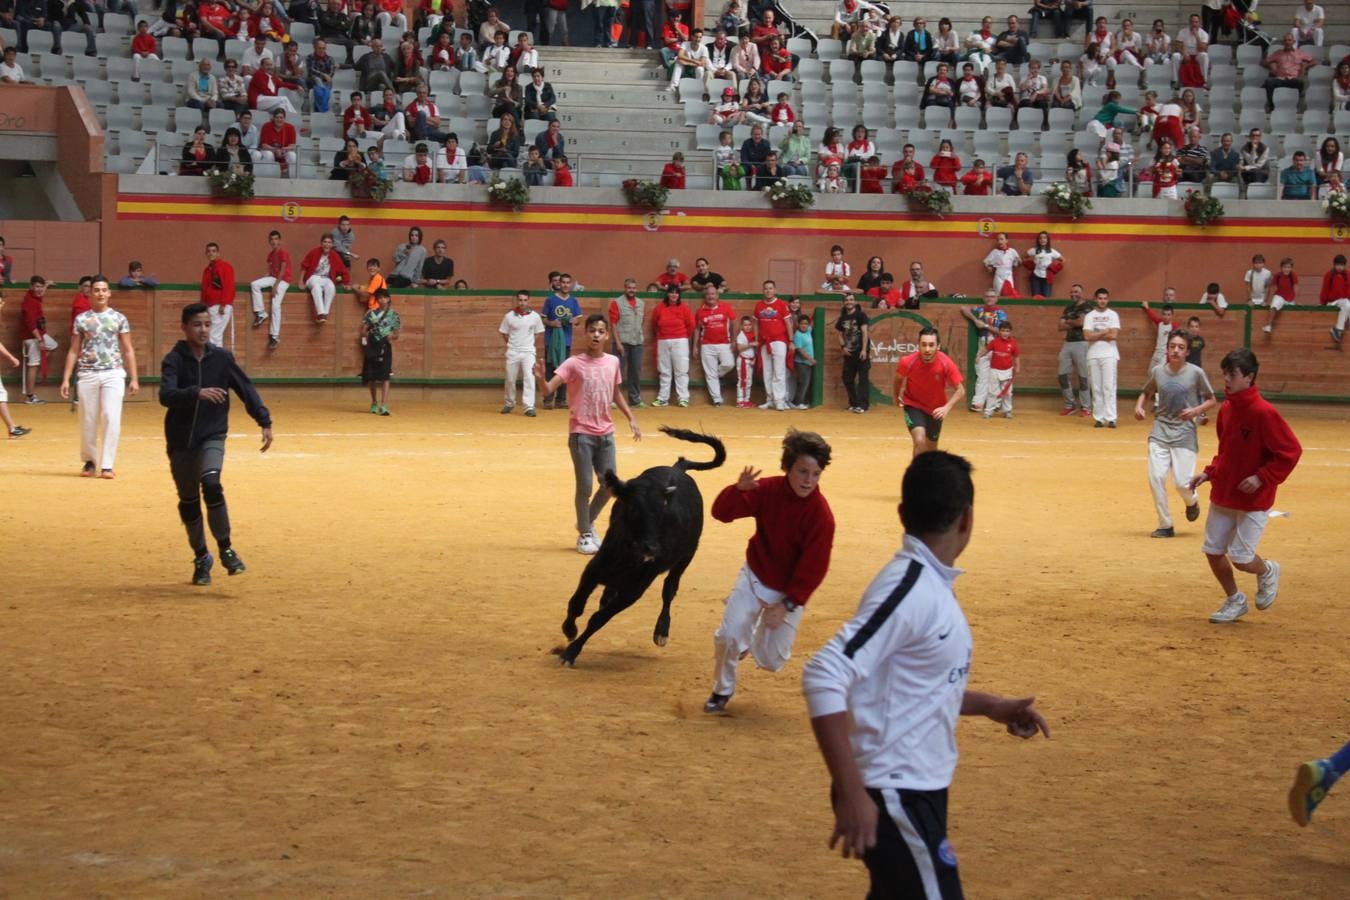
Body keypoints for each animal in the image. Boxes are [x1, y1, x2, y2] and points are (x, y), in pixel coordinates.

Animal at [556, 426, 729, 666]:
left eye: (662, 511)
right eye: (630, 507)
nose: (651, 548)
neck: (628, 556)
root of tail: (678, 468)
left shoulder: (634, 589)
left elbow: (598, 619)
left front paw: (571, 652)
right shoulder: (593, 570)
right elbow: (577, 603)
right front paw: (569, 629)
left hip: (686, 557)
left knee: (669, 590)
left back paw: (661, 631)